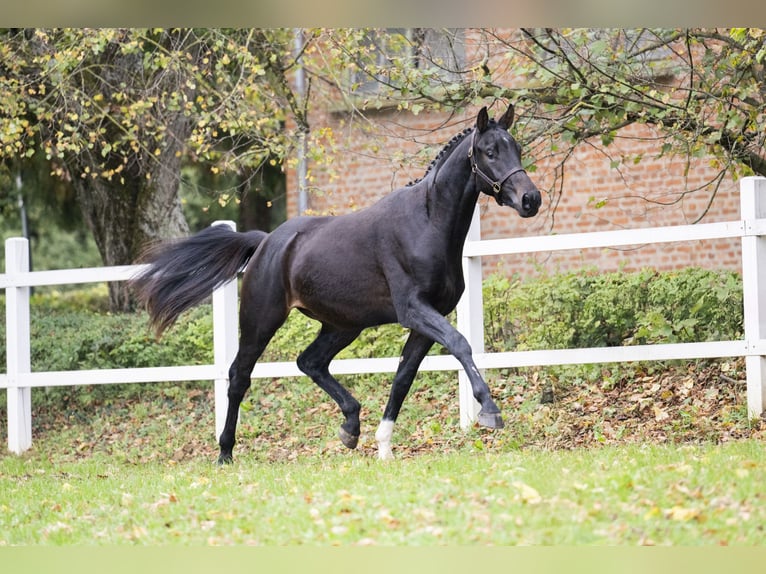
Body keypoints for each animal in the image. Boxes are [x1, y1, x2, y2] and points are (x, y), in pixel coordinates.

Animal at [130, 104, 540, 464]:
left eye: (516, 148)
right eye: (489, 151)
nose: (530, 199)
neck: (426, 224)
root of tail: (265, 241)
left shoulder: (426, 320)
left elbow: (403, 377)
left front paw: (384, 446)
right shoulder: (414, 310)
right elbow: (460, 344)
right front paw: (489, 411)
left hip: (342, 326)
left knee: (309, 362)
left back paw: (350, 427)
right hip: (261, 321)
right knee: (238, 377)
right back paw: (225, 453)